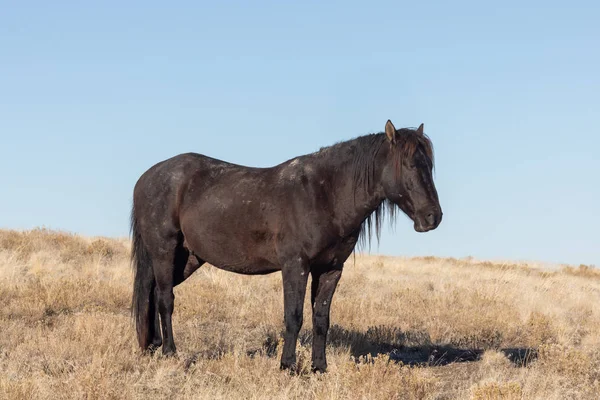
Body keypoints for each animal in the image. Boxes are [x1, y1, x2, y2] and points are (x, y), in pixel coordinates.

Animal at [131, 119, 440, 372]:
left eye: (430, 166)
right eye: (410, 165)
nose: (433, 217)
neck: (324, 194)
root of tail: (146, 178)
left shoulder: (330, 270)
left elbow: (321, 319)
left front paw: (319, 367)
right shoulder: (295, 265)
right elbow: (294, 316)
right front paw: (288, 365)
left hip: (188, 259)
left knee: (152, 293)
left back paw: (152, 346)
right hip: (164, 252)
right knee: (165, 299)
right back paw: (170, 352)